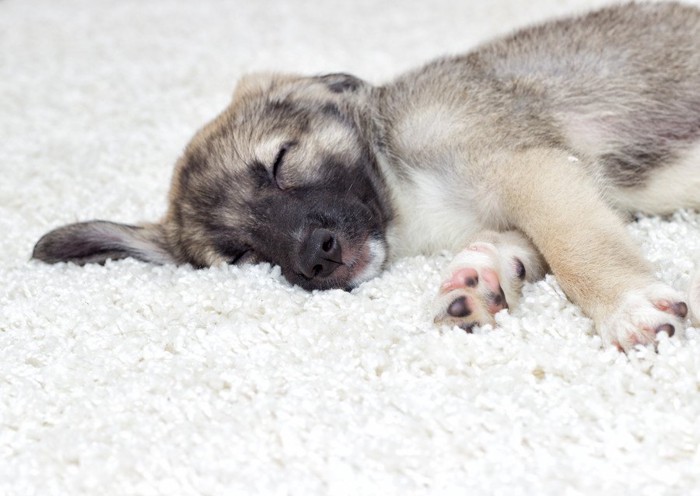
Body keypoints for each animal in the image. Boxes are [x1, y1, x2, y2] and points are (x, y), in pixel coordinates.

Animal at [31, 2, 700, 352]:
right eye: (240, 254)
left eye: (280, 162)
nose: (318, 257)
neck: (404, 197)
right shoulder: (535, 189)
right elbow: (520, 244)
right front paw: (480, 278)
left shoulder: (532, 167)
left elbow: (577, 247)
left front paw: (625, 307)